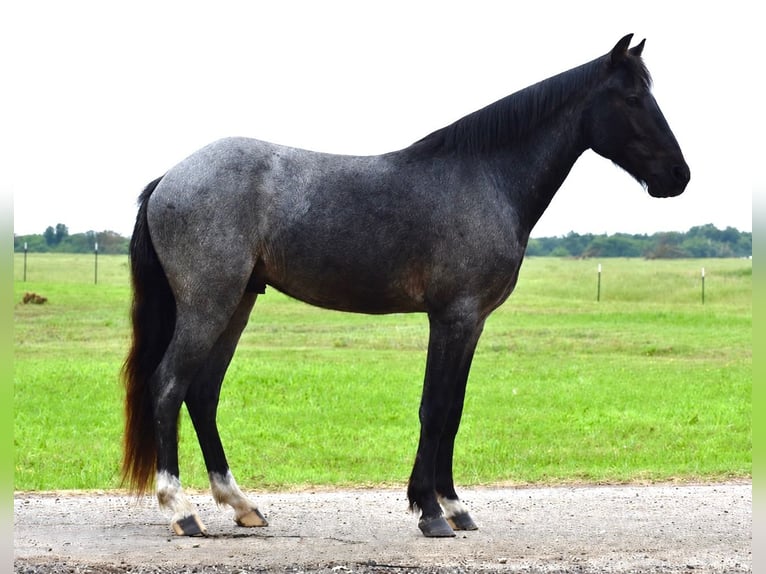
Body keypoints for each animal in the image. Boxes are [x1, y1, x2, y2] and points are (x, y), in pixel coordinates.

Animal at [122, 34, 689, 538]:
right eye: (633, 98)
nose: (679, 176)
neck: (485, 176)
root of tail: (169, 178)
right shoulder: (453, 316)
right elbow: (434, 409)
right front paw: (431, 512)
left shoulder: (472, 323)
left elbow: (453, 410)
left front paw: (455, 507)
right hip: (208, 304)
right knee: (168, 386)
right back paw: (181, 511)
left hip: (238, 303)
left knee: (203, 393)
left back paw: (242, 505)